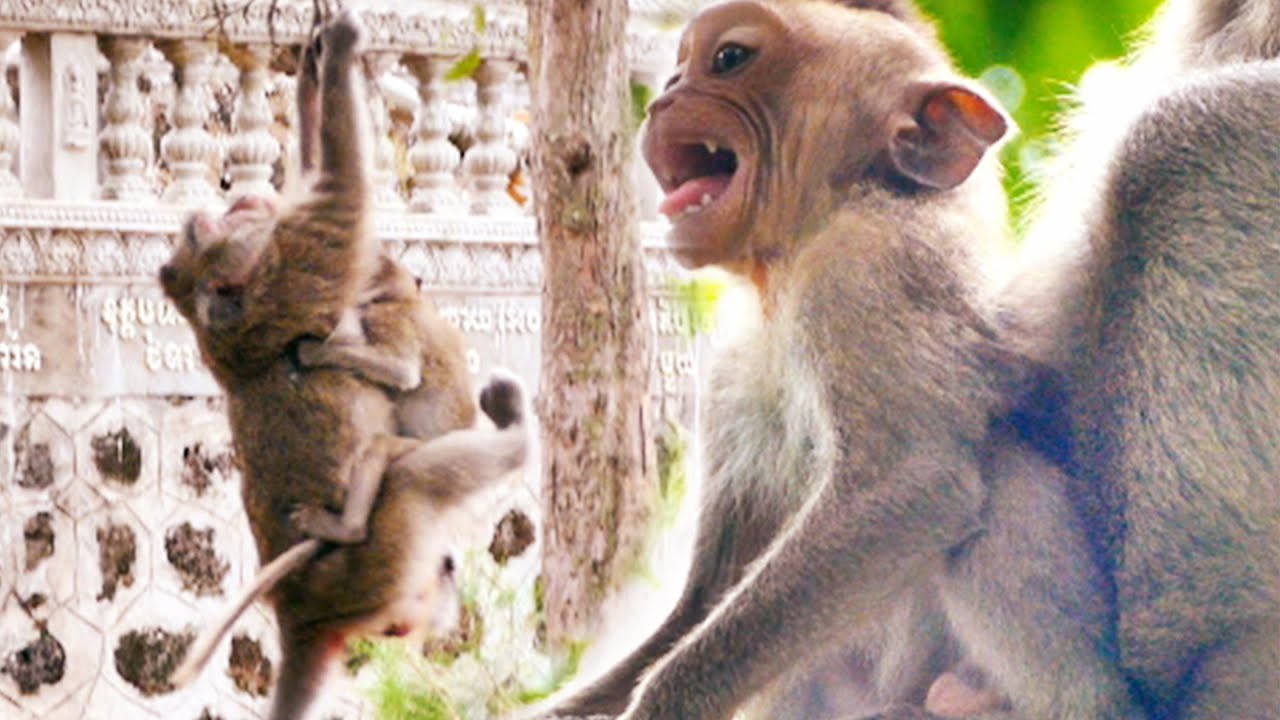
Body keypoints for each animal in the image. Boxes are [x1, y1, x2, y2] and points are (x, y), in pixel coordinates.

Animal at [160, 12, 530, 720]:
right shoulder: (297, 268)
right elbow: (341, 190)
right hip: (377, 555)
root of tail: (298, 614)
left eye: (192, 243)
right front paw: (340, 47)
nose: (202, 213)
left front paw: (313, 61)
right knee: (409, 477)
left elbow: (316, 172)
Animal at [541, 2, 1142, 719]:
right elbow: (705, 598)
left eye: (728, 59)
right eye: (681, 66)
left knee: (998, 478)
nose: (666, 93)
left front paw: (667, 704)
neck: (794, 256)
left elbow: (911, 484)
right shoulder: (733, 362)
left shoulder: (864, 271)